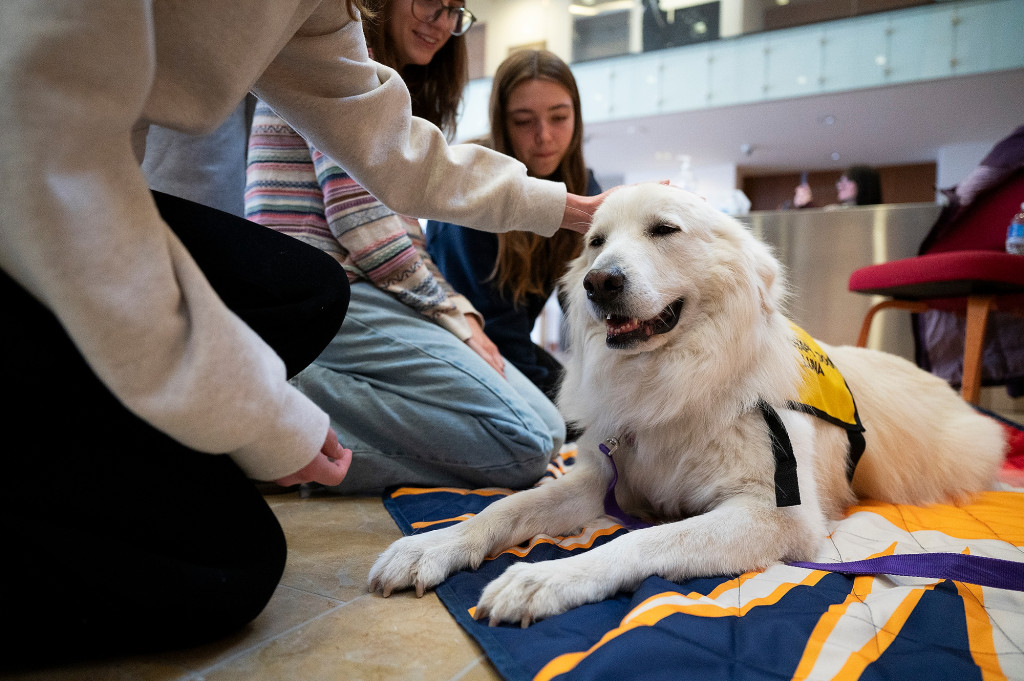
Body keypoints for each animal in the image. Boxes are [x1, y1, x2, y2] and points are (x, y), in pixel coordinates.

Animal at [370, 182, 1007, 626]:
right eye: (596, 242)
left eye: (664, 230)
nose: (598, 283)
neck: (677, 379)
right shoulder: (603, 478)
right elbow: (506, 508)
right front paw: (432, 545)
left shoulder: (776, 514)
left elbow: (639, 539)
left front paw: (544, 579)